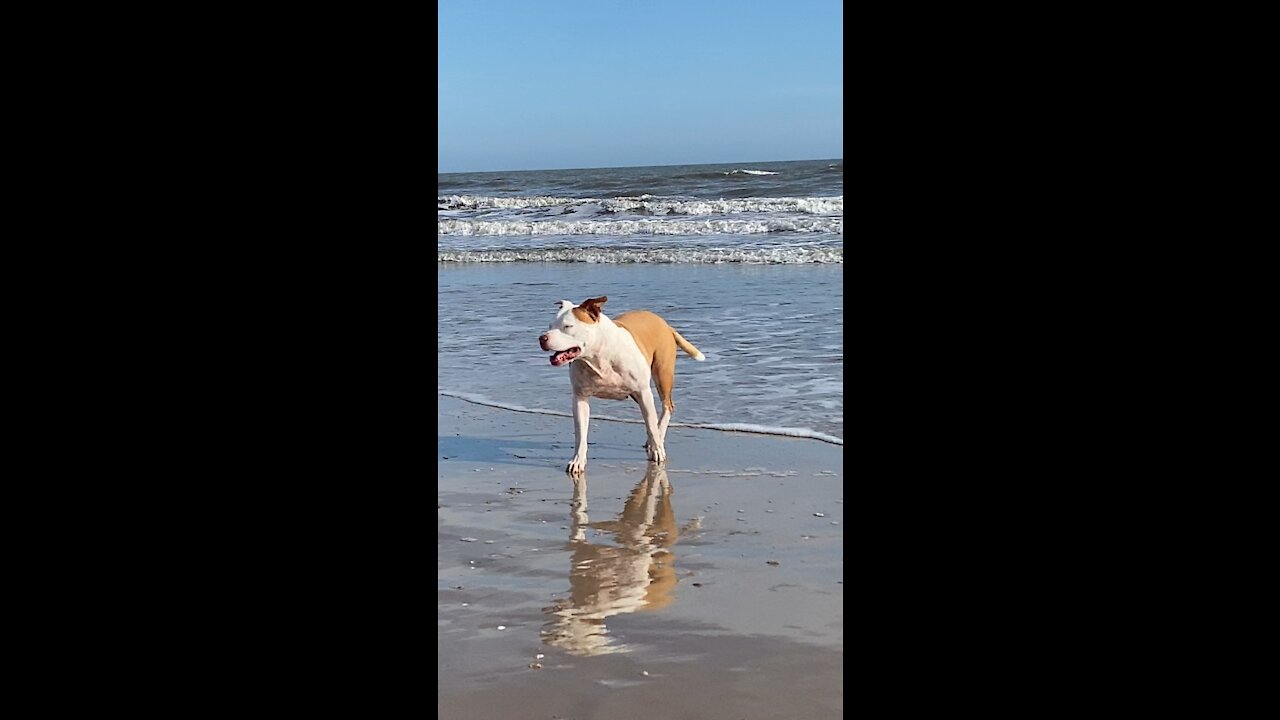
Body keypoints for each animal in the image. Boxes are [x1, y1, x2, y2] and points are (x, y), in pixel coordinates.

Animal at [537, 294, 706, 474]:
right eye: (550, 326)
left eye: (568, 326)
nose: (542, 338)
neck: (599, 355)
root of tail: (664, 323)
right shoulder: (580, 398)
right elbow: (580, 434)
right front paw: (578, 461)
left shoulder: (644, 391)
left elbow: (651, 424)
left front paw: (657, 450)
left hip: (663, 373)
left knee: (666, 406)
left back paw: (658, 439)